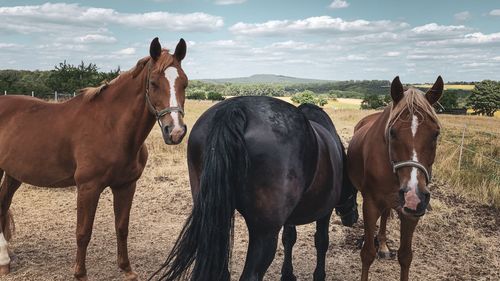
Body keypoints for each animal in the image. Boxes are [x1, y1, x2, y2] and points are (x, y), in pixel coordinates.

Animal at [0, 37, 188, 280]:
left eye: (184, 83)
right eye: (154, 83)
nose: (175, 132)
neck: (111, 127)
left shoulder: (126, 186)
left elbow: (122, 227)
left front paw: (126, 269)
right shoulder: (88, 187)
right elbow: (83, 232)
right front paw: (80, 273)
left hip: (14, 173)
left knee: (3, 204)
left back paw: (5, 260)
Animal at [152, 97, 360, 280]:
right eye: (355, 189)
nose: (353, 218)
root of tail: (235, 110)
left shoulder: (289, 217)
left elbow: (289, 238)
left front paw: (288, 274)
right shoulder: (324, 211)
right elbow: (322, 241)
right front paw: (318, 275)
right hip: (264, 233)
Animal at [348, 76, 442, 280]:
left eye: (436, 133)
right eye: (392, 132)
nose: (413, 196)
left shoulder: (411, 213)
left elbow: (406, 256)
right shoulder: (370, 204)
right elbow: (367, 254)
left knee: (385, 215)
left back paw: (383, 246)